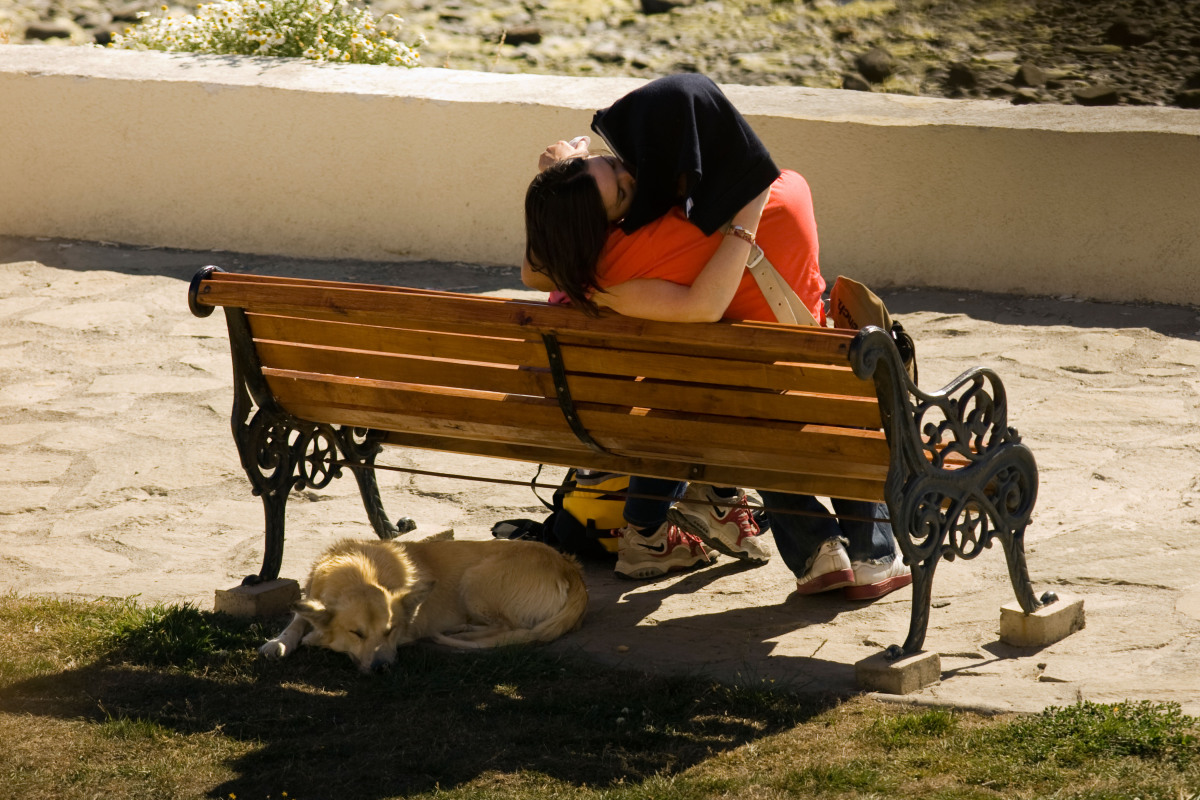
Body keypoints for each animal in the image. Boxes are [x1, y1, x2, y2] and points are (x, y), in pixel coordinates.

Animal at [260, 537, 588, 676]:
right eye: (357, 633)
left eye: (391, 631)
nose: (382, 668)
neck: (357, 571)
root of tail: (568, 565)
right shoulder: (312, 595)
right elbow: (297, 619)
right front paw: (278, 642)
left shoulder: (407, 632)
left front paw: (314, 638)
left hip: (475, 579)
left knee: (509, 627)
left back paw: (462, 632)